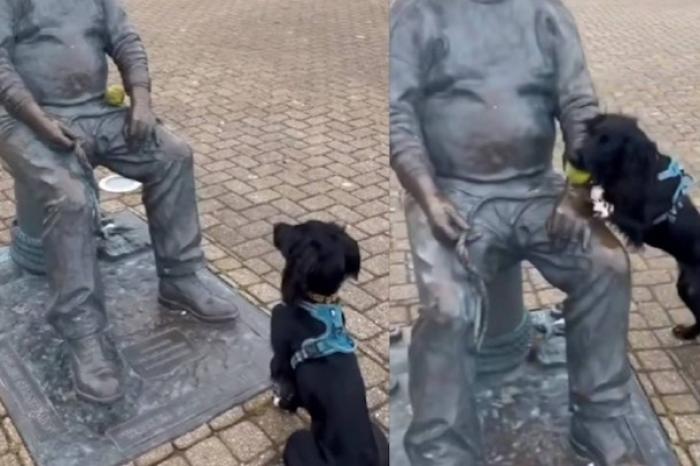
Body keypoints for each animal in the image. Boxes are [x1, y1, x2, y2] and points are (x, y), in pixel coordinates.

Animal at [270, 220, 388, 464]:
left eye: (298, 229)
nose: (275, 225)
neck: (318, 303)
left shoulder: (282, 360)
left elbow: (284, 385)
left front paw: (281, 404)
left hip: (296, 443)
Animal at [576, 113, 700, 338]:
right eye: (591, 134)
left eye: (607, 143)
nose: (573, 156)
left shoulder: (639, 227)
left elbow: (609, 209)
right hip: (686, 285)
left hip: (694, 289)